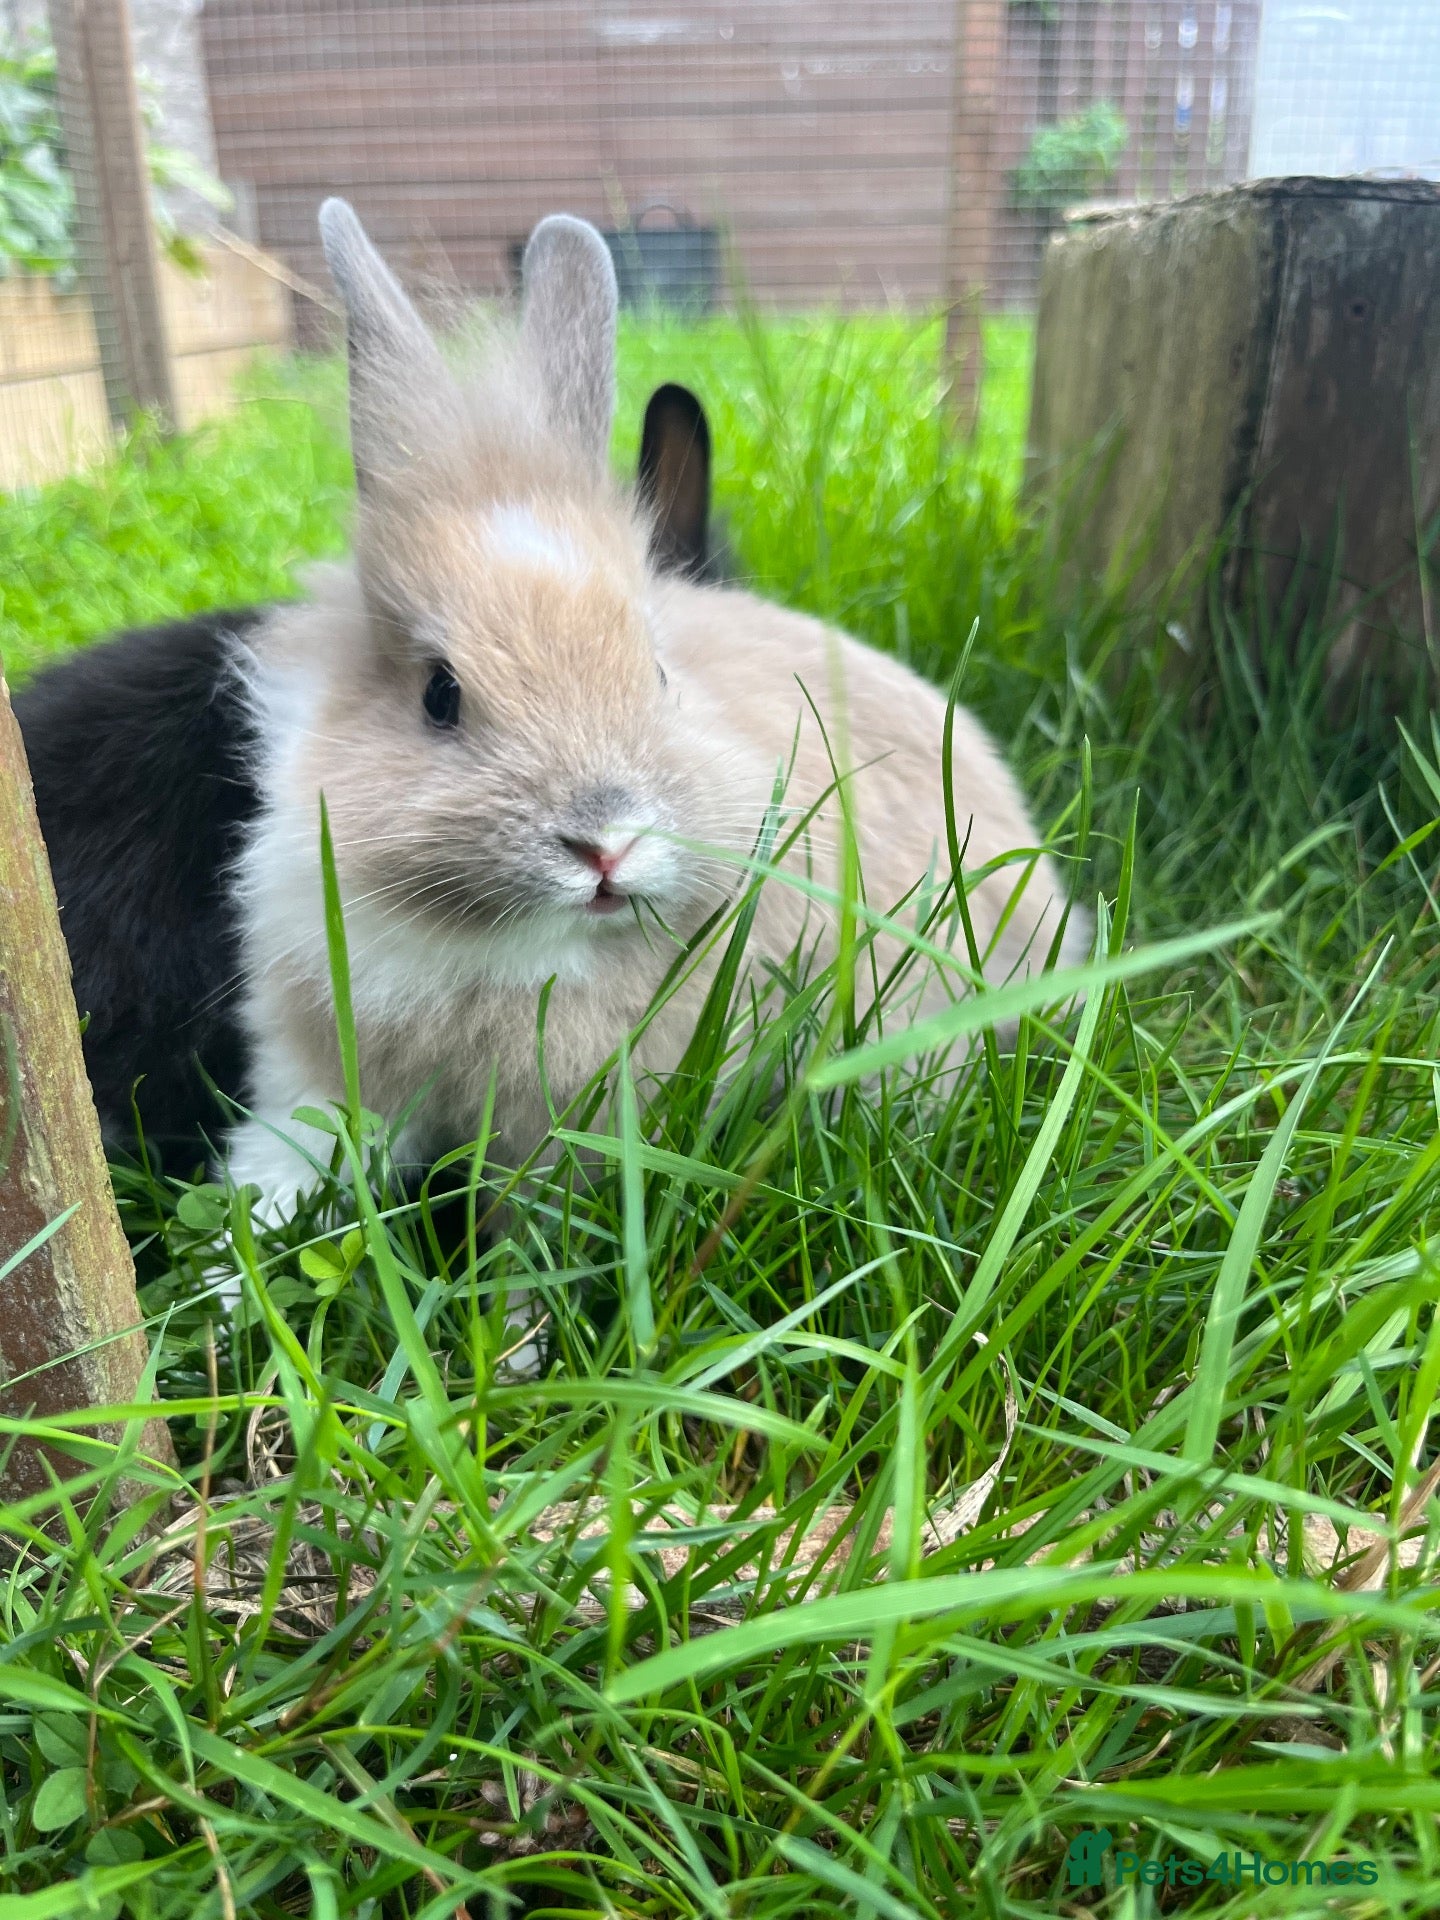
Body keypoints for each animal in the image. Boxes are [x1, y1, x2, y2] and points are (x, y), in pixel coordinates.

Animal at [219, 199, 1089, 1216]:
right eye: (440, 694)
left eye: (659, 672)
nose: (606, 843)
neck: (517, 951)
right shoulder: (313, 1053)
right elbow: (304, 1141)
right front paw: (244, 1243)